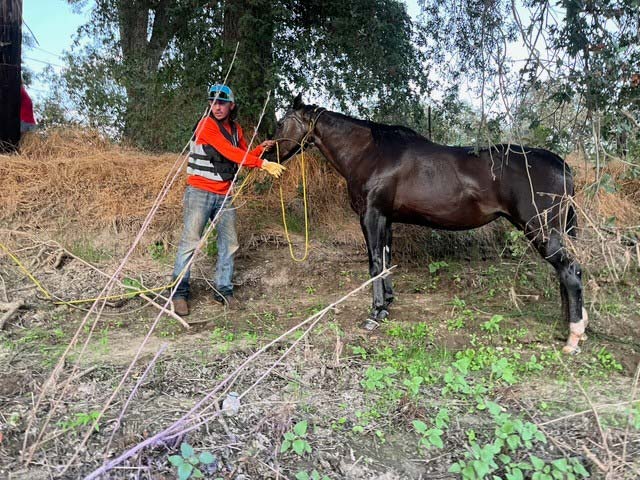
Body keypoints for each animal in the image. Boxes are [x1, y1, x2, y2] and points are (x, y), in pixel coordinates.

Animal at [270, 94, 588, 354]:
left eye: (282, 122)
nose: (268, 155)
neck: (370, 152)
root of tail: (562, 165)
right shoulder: (386, 218)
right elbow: (386, 259)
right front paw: (387, 304)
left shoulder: (371, 215)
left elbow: (375, 263)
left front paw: (375, 313)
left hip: (540, 229)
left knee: (569, 271)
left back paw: (572, 337)